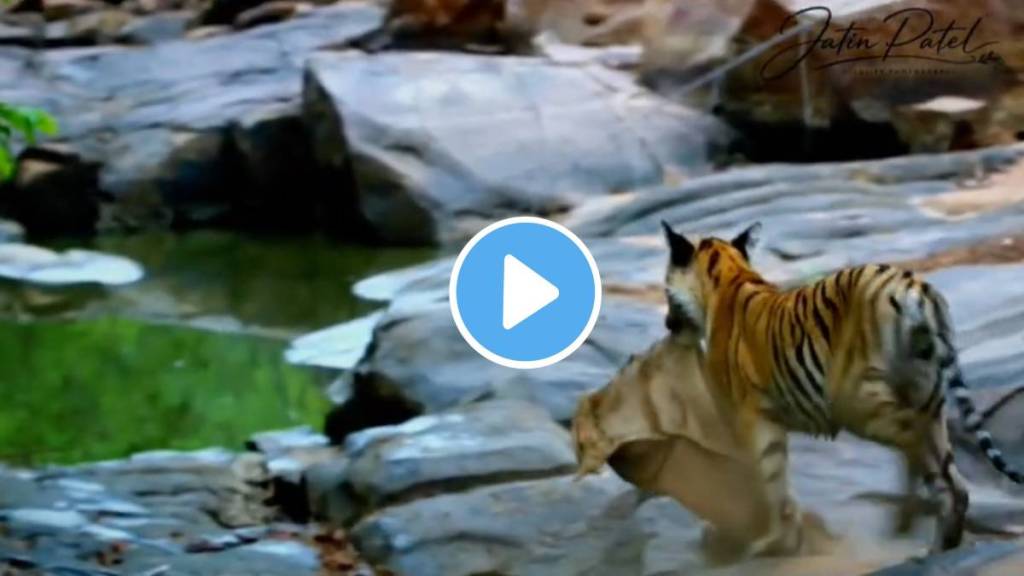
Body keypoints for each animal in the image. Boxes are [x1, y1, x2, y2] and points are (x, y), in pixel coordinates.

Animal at [659, 220, 1023, 555]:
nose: (667, 323)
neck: (729, 274)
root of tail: (912, 285)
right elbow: (774, 478)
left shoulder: (745, 418)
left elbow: (765, 479)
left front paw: (770, 539)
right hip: (924, 393)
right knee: (951, 480)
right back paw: (937, 543)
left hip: (854, 400)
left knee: (916, 444)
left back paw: (906, 521)